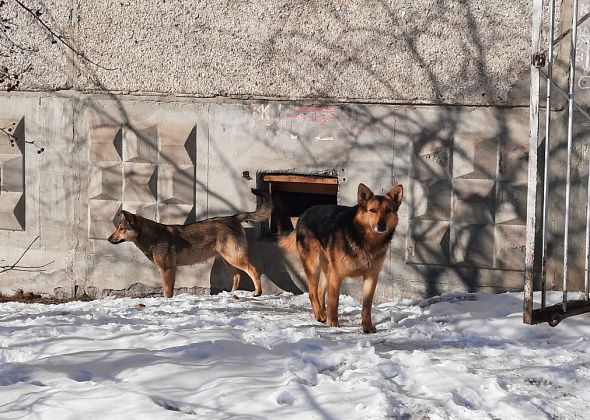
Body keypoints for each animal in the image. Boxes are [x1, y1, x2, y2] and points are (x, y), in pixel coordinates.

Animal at [108, 189, 270, 296]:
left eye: (121, 229)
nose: (108, 239)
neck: (152, 237)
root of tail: (233, 218)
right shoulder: (169, 270)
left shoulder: (167, 270)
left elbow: (167, 292)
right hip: (228, 259)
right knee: (237, 276)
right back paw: (231, 295)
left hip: (234, 258)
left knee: (253, 270)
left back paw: (257, 292)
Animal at [280, 182, 404, 334]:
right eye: (372, 210)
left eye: (388, 210)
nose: (381, 225)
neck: (366, 240)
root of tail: (304, 213)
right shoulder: (337, 275)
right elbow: (334, 301)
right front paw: (333, 322)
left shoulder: (371, 276)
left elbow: (367, 305)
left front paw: (367, 325)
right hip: (314, 265)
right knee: (312, 292)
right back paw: (320, 314)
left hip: (327, 269)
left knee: (320, 291)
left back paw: (323, 312)